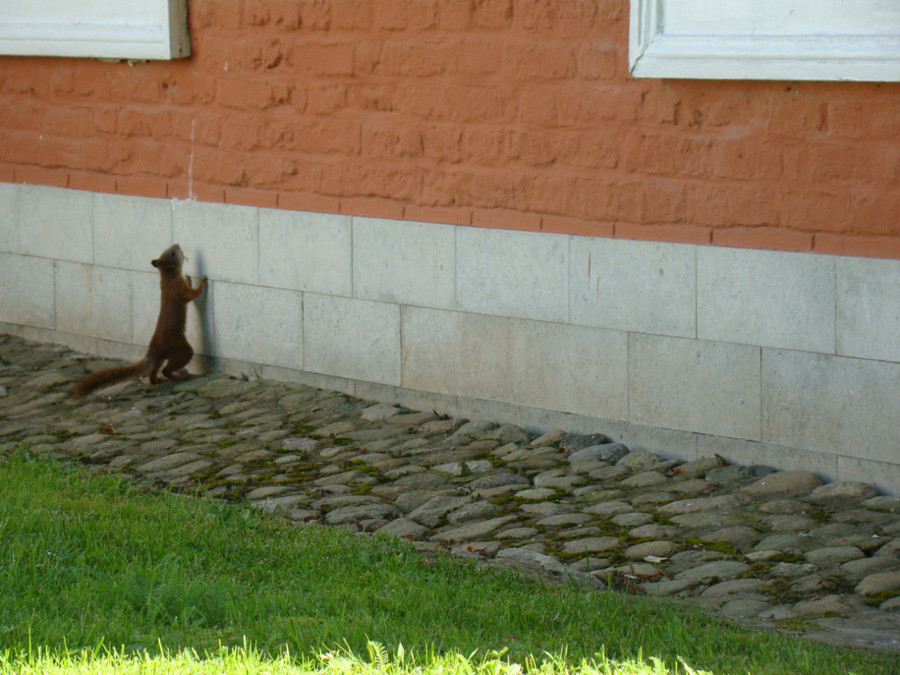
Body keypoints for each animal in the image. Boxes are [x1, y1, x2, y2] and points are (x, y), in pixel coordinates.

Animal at [73, 246, 208, 398]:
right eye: (173, 253)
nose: (177, 245)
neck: (168, 277)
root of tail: (154, 350)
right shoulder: (178, 290)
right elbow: (192, 295)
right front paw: (202, 282)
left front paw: (188, 278)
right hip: (180, 348)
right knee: (168, 369)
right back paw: (181, 376)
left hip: (161, 357)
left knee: (154, 371)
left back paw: (156, 379)